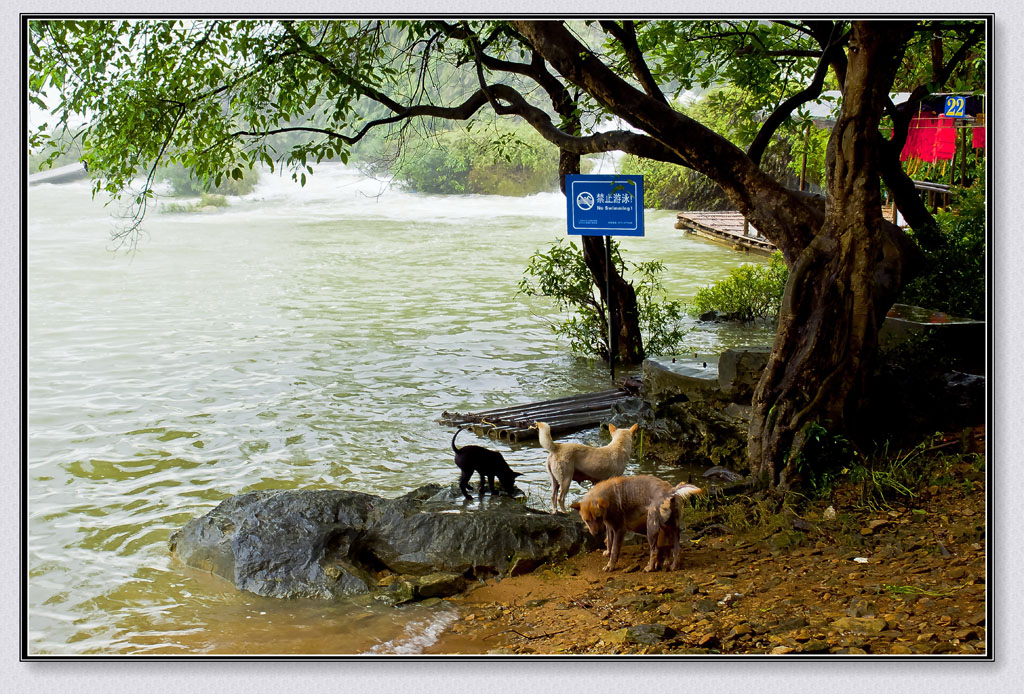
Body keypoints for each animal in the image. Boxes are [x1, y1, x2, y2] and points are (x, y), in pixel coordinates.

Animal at [569, 474, 704, 573]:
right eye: (587, 520)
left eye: (598, 517)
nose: (596, 533)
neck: (609, 497)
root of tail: (671, 491)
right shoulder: (610, 527)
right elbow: (610, 543)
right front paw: (607, 553)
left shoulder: (619, 529)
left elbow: (614, 550)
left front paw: (610, 566)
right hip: (671, 528)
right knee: (676, 548)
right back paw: (673, 566)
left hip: (651, 528)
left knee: (655, 550)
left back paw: (650, 567)